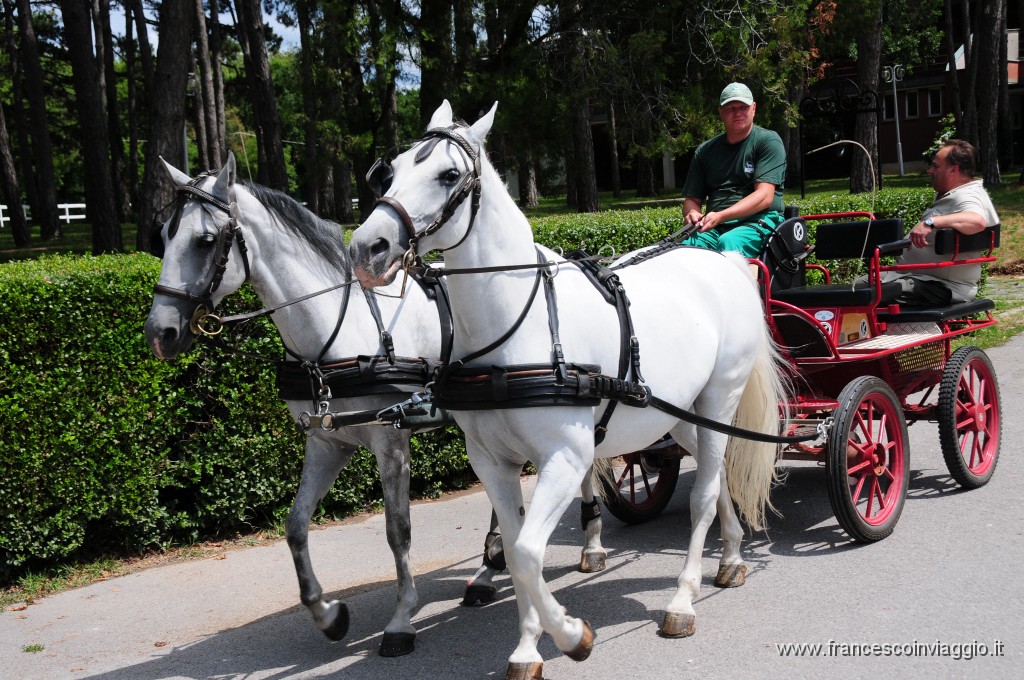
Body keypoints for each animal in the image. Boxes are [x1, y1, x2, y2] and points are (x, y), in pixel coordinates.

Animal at [144, 152, 606, 655]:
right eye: (163, 236)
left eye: (206, 240)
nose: (159, 332)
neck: (337, 330)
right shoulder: (327, 443)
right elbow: (296, 525)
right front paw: (328, 615)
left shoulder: (391, 443)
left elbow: (396, 530)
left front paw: (401, 619)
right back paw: (488, 570)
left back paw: (589, 545)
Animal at [348, 102, 786, 680]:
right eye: (392, 171)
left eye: (447, 175)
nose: (366, 248)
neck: (516, 326)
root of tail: (724, 262)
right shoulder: (492, 462)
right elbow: (516, 553)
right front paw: (528, 648)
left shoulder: (565, 456)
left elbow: (529, 554)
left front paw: (572, 634)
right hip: (679, 415)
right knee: (715, 480)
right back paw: (732, 557)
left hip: (718, 397)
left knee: (705, 494)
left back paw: (682, 600)